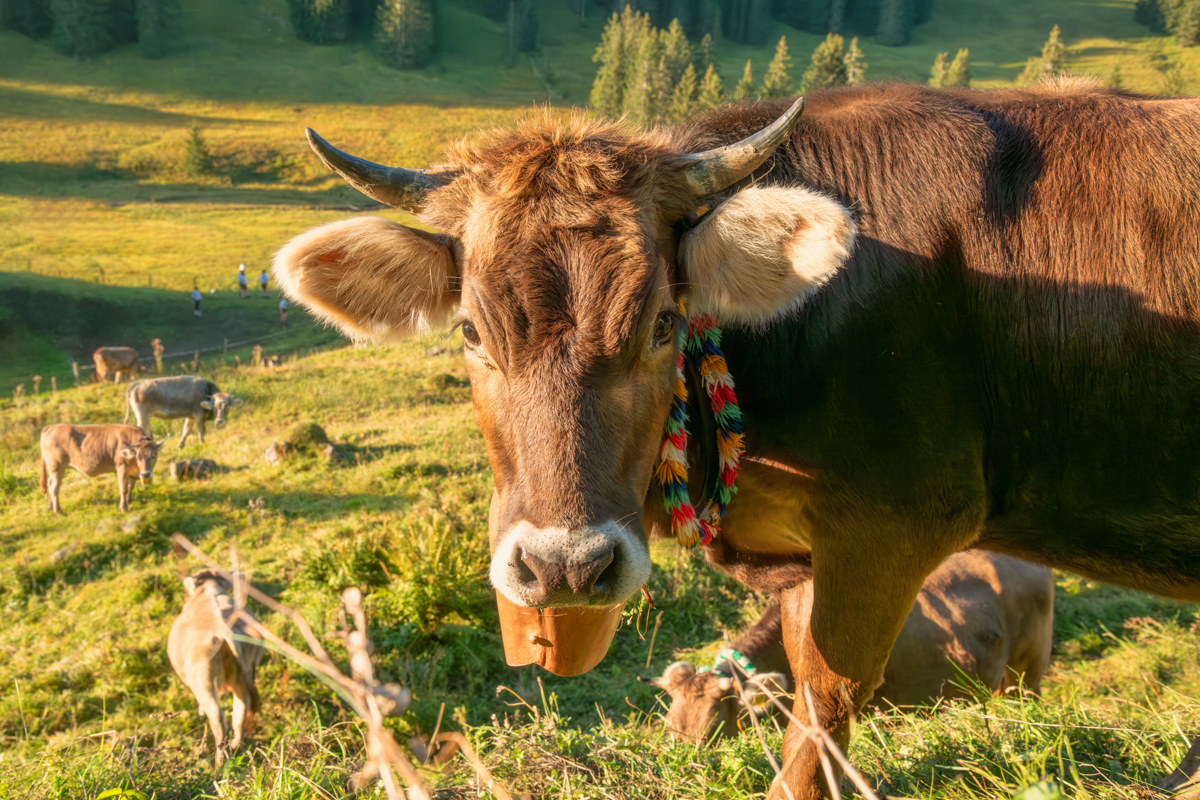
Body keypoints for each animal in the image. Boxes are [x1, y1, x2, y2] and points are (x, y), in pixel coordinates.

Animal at [167, 569, 264, 765]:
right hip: (243, 677)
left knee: (218, 720)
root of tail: (223, 629)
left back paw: (219, 762)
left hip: (203, 683)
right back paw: (237, 749)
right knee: (240, 712)